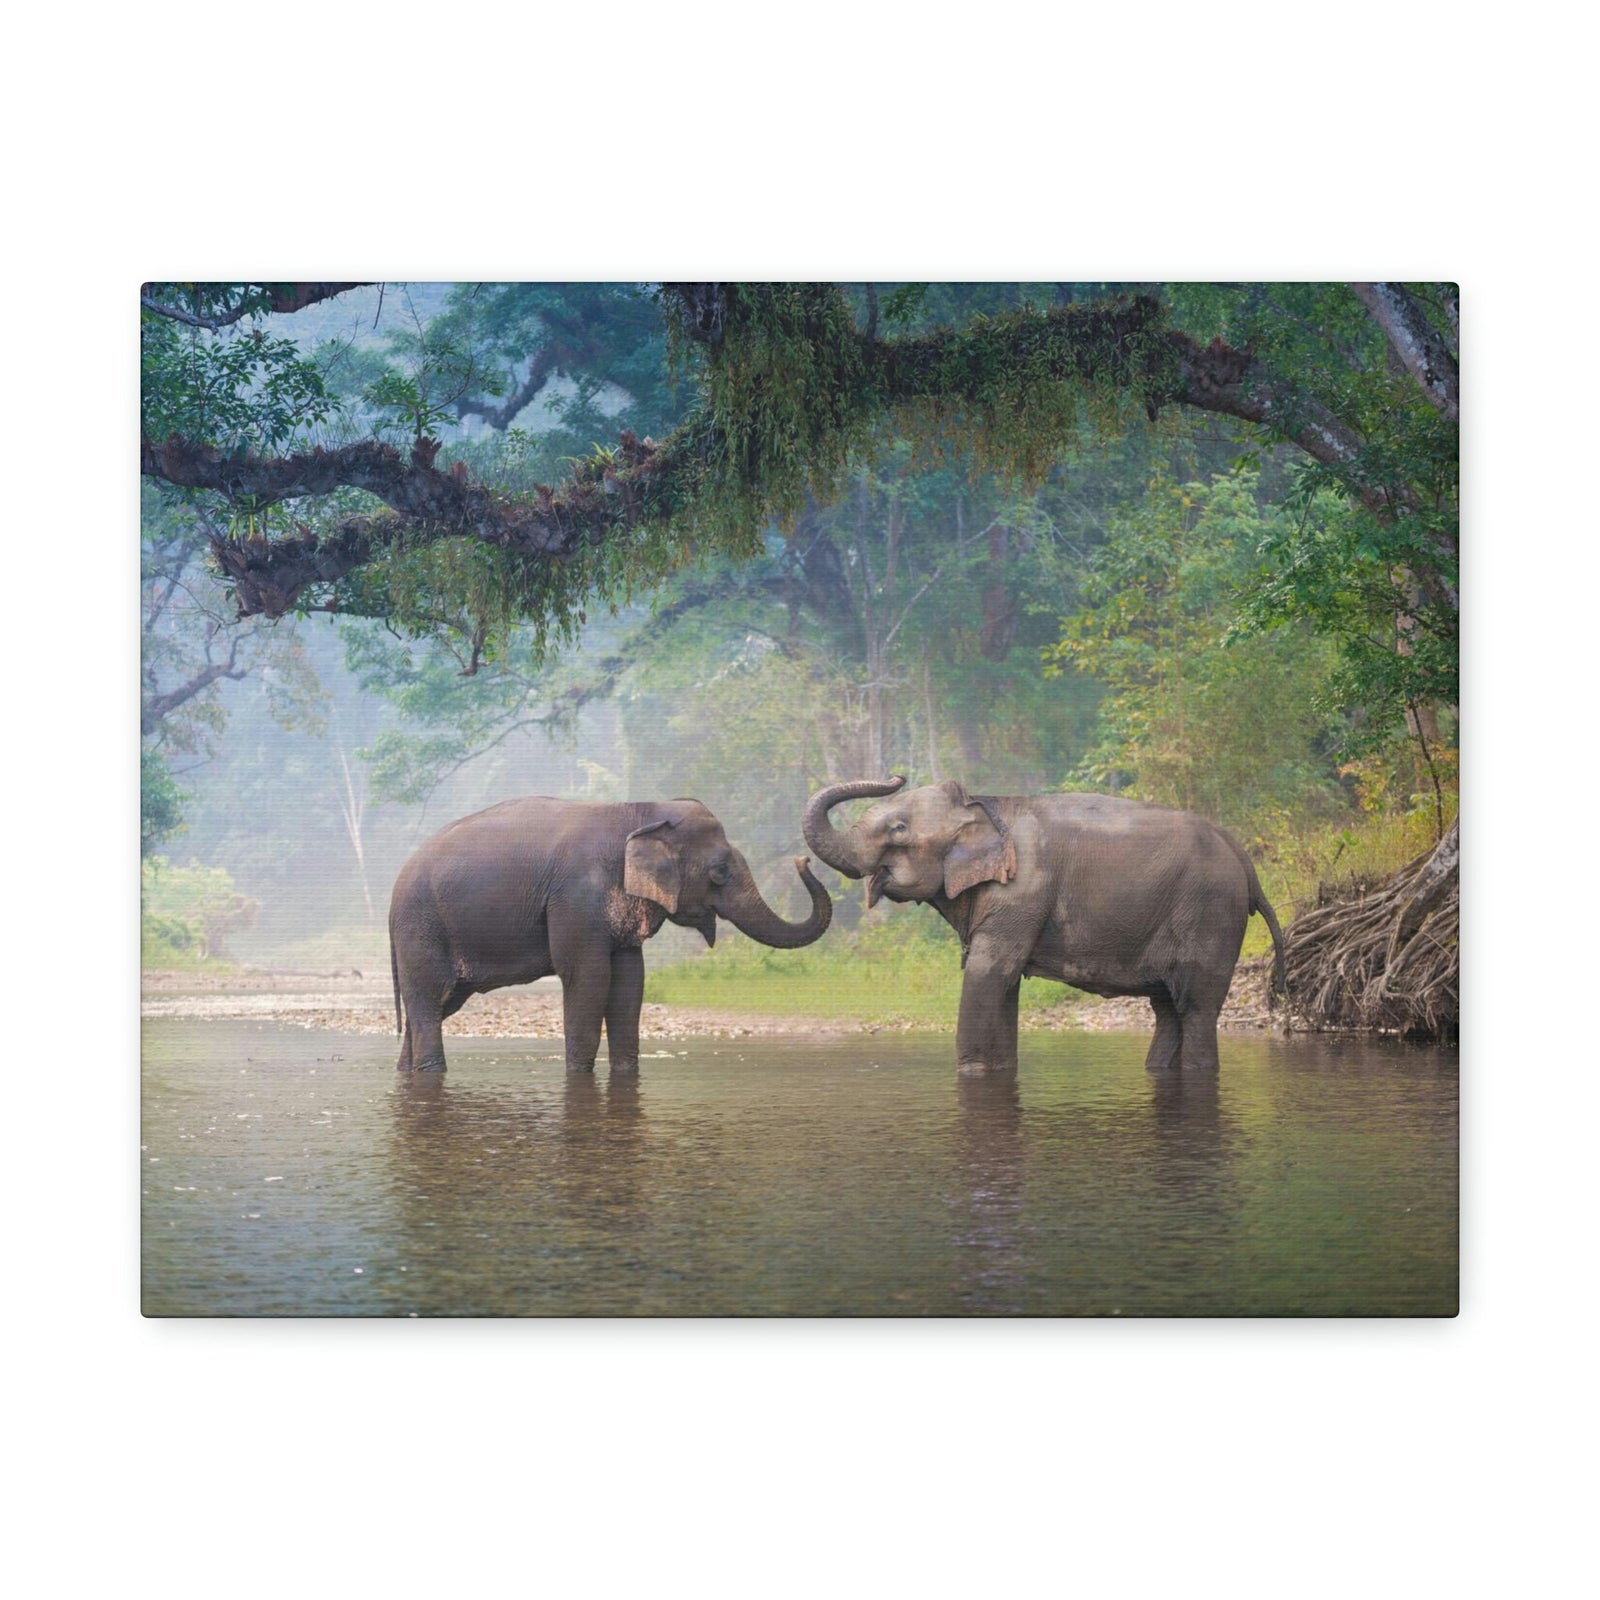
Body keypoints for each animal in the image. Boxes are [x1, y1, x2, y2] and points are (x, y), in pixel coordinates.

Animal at [389, 796, 832, 1073]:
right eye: (719, 872)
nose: (803, 859)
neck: (639, 811)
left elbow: (629, 982)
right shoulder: (576, 898)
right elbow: (587, 977)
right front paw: (578, 1075)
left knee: (436, 1005)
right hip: (421, 927)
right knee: (429, 1001)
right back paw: (431, 1071)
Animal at [803, 776, 1286, 1073]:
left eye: (899, 829)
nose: (897, 774)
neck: (987, 805)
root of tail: (1244, 859)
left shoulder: (1022, 892)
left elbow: (988, 974)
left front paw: (971, 1072)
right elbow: (1004, 984)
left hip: (1210, 913)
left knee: (1196, 1007)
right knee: (1167, 1009)